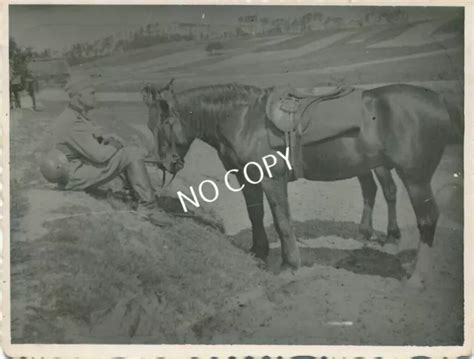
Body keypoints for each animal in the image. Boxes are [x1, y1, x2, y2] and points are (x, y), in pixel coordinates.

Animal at [145, 81, 462, 290]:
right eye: (150, 127)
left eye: (166, 123)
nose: (164, 164)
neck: (244, 119)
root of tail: (439, 100)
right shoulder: (247, 178)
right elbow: (255, 214)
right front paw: (258, 252)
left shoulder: (272, 180)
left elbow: (283, 222)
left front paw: (289, 266)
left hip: (415, 178)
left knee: (426, 218)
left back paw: (417, 275)